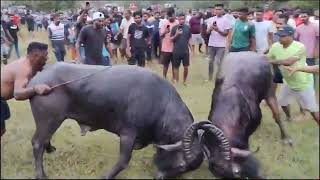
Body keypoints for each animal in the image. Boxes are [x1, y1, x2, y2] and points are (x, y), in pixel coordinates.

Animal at [27, 63, 225, 179]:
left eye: (186, 170)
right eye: (182, 165)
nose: (159, 177)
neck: (159, 101)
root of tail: (38, 80)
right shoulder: (128, 134)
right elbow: (123, 161)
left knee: (44, 141)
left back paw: (50, 149)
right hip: (49, 120)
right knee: (37, 143)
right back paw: (41, 174)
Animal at [189, 51, 294, 179]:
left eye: (236, 173)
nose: (260, 174)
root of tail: (264, 57)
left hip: (270, 94)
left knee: (277, 116)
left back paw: (286, 138)